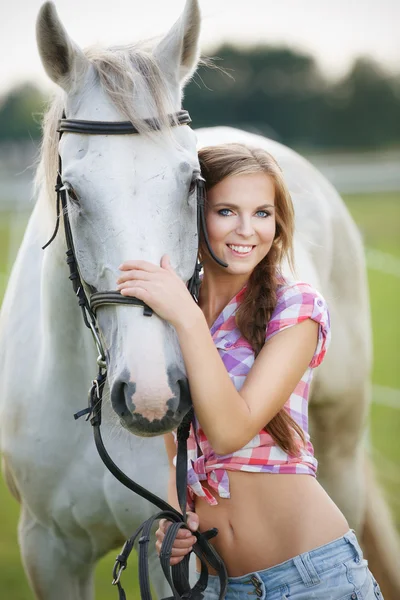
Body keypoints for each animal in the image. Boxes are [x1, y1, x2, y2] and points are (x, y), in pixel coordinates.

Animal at [0, 1, 400, 600]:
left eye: (194, 182)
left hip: (342, 463)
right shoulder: (48, 549)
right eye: (71, 191)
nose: (152, 398)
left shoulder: (177, 554)